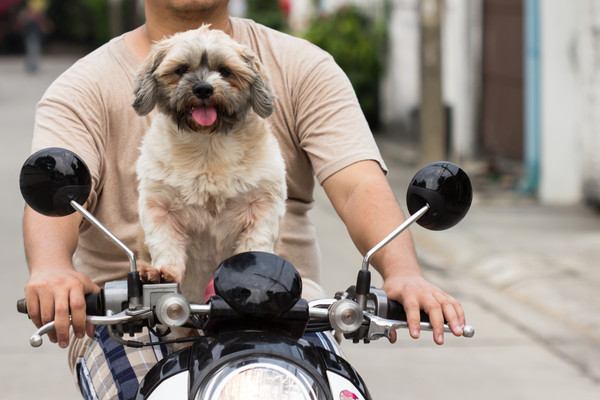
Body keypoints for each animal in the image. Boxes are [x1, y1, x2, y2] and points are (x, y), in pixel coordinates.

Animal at [133, 25, 286, 302]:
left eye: (225, 71)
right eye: (181, 69)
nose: (203, 88)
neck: (208, 146)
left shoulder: (262, 204)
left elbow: (256, 241)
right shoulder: (160, 206)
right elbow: (166, 243)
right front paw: (162, 271)